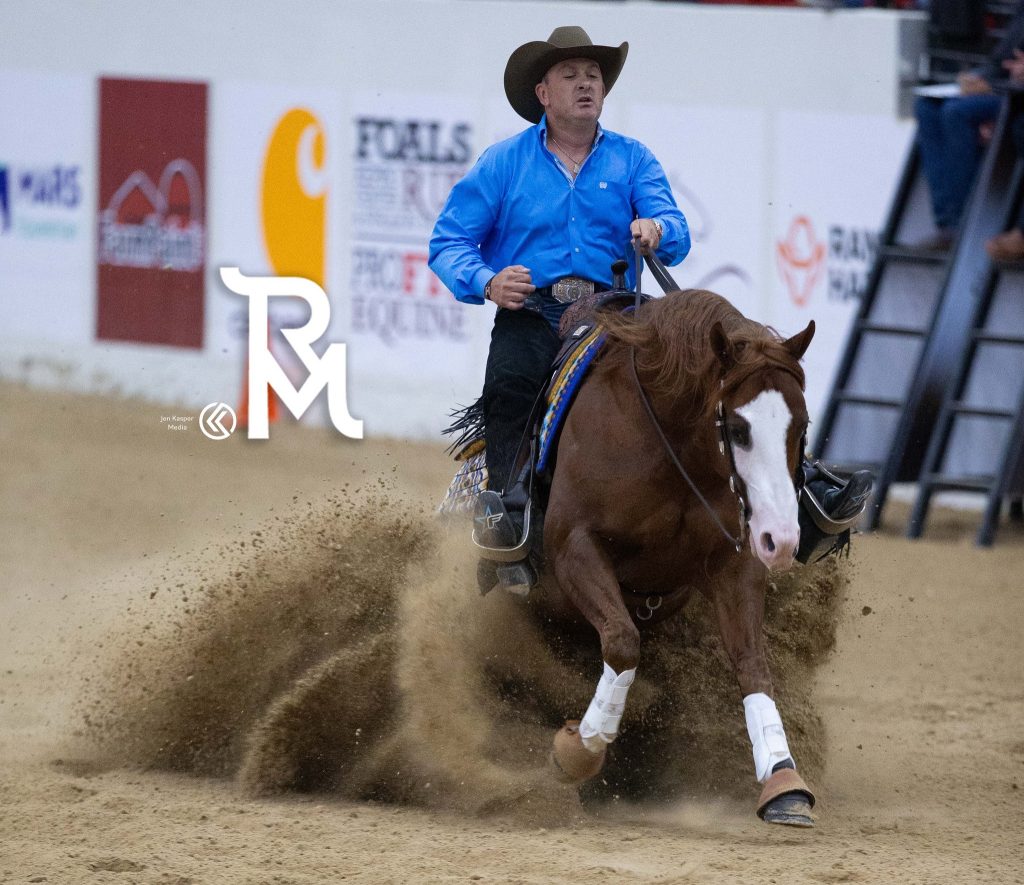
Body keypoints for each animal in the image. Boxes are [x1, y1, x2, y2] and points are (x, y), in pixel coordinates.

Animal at [536, 286, 815, 827]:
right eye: (739, 428)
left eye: (803, 425)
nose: (782, 539)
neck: (673, 445)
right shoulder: (573, 544)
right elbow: (623, 642)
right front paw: (580, 749)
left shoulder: (734, 562)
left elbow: (752, 661)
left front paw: (783, 778)